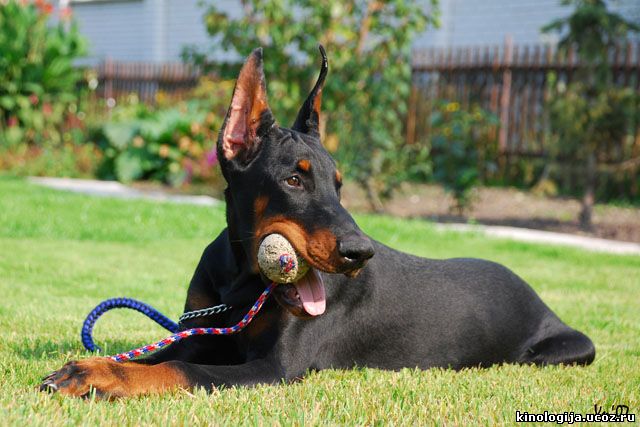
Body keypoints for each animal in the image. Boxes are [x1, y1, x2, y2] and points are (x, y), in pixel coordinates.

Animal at [38, 46, 596, 398]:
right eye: (294, 179)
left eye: (339, 183)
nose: (359, 253)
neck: (241, 281)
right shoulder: (202, 331)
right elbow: (149, 355)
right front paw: (89, 367)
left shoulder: (276, 367)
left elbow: (179, 368)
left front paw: (103, 379)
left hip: (564, 350)